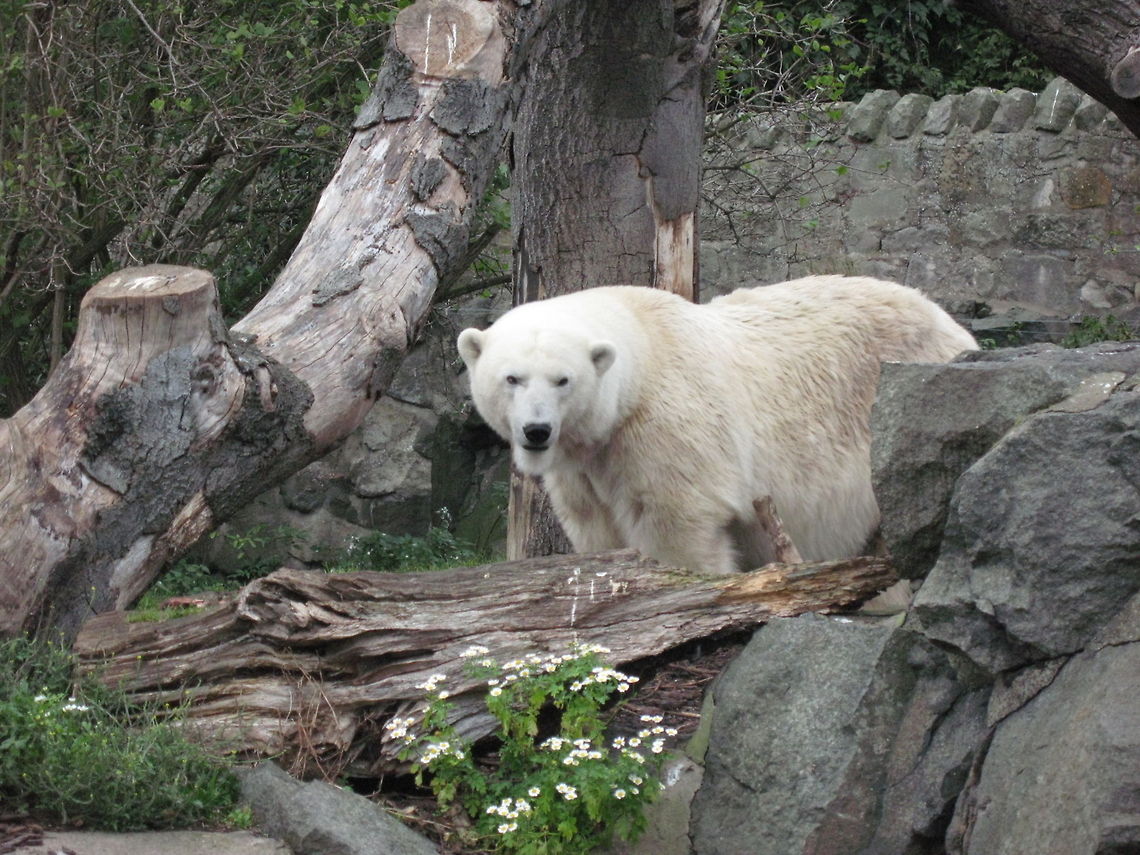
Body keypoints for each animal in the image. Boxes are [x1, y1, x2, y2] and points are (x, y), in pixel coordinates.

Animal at [457, 275, 977, 575]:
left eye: (562, 379)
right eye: (512, 378)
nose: (537, 431)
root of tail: (951, 323)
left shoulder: (666, 426)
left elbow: (677, 521)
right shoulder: (584, 467)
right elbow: (597, 529)